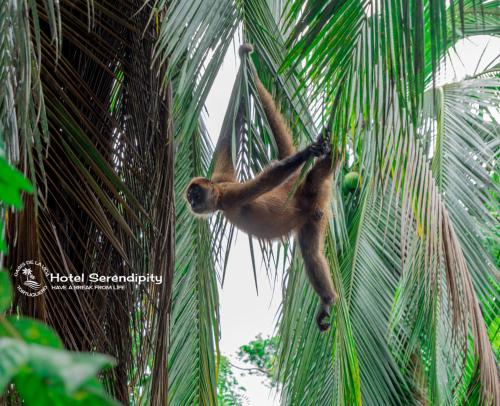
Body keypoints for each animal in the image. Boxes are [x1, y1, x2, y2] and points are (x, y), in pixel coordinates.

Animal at [187, 42, 340, 332]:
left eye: (195, 194)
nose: (191, 202)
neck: (219, 195)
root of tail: (296, 186)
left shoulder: (231, 195)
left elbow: (267, 179)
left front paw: (308, 152)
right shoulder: (222, 177)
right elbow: (226, 140)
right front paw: (243, 66)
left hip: (313, 191)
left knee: (310, 251)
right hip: (313, 211)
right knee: (311, 252)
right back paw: (326, 300)